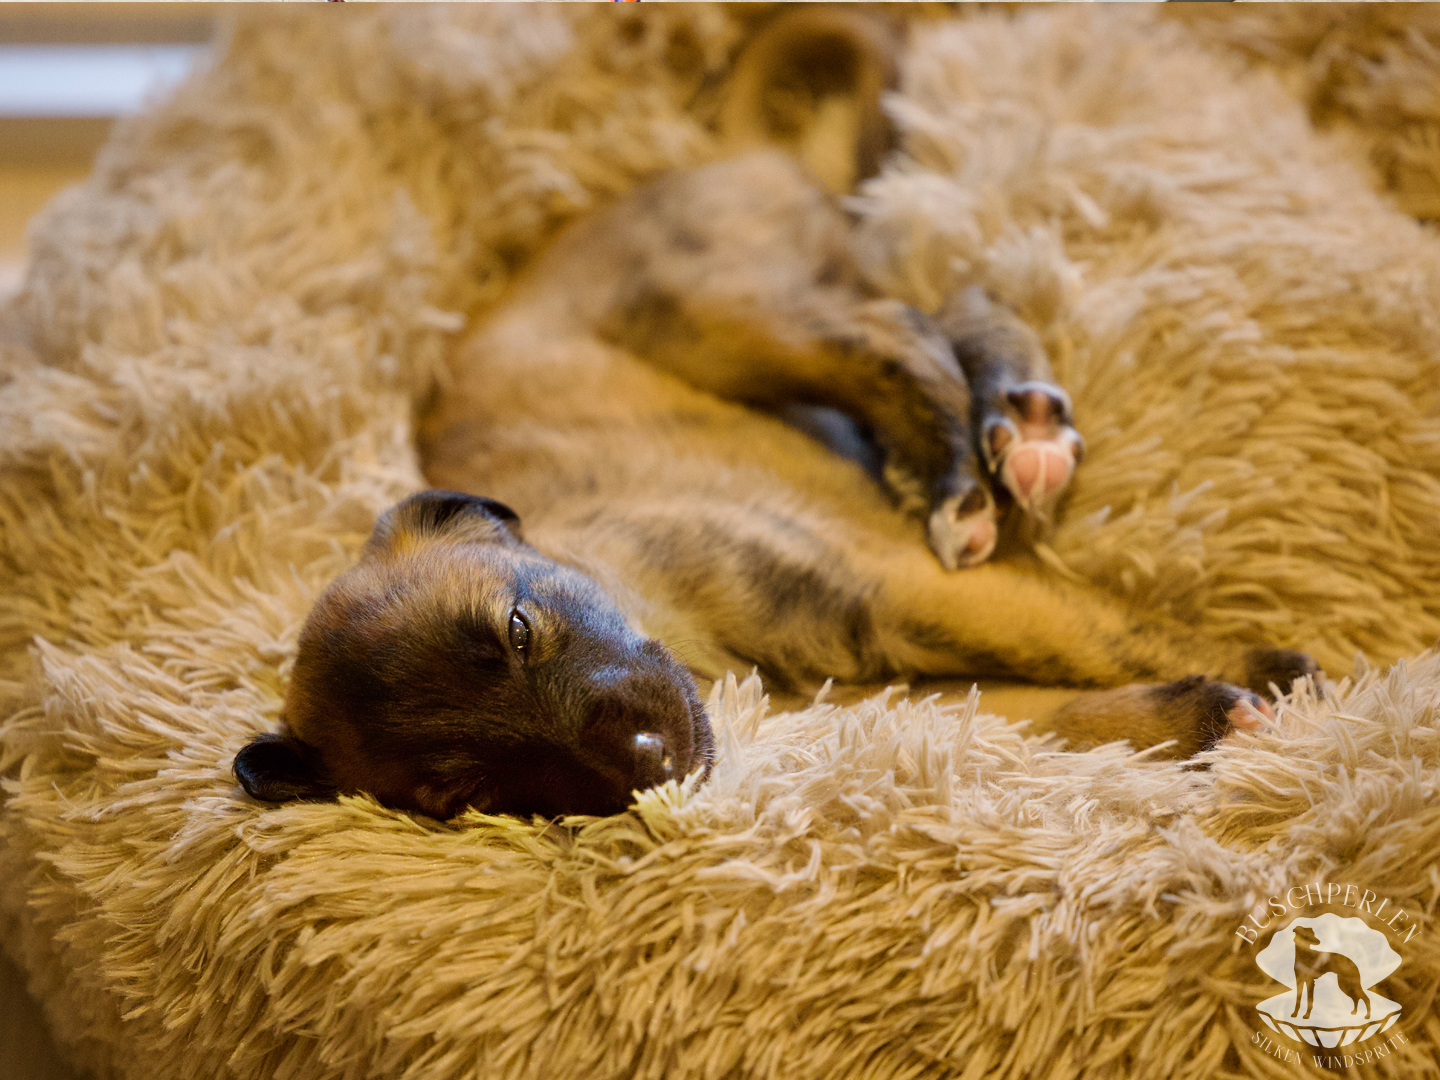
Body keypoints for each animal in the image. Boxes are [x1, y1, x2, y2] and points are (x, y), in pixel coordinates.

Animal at [234, 8, 1319, 820]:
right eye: (460, 794)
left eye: (518, 630)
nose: (646, 765)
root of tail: (727, 147)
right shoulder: (871, 695)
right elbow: (1026, 717)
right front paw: (1197, 720)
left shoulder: (908, 587)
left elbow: (1103, 636)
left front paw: (1269, 673)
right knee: (929, 301)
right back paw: (1012, 429)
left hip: (710, 305)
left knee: (894, 330)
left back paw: (973, 468)